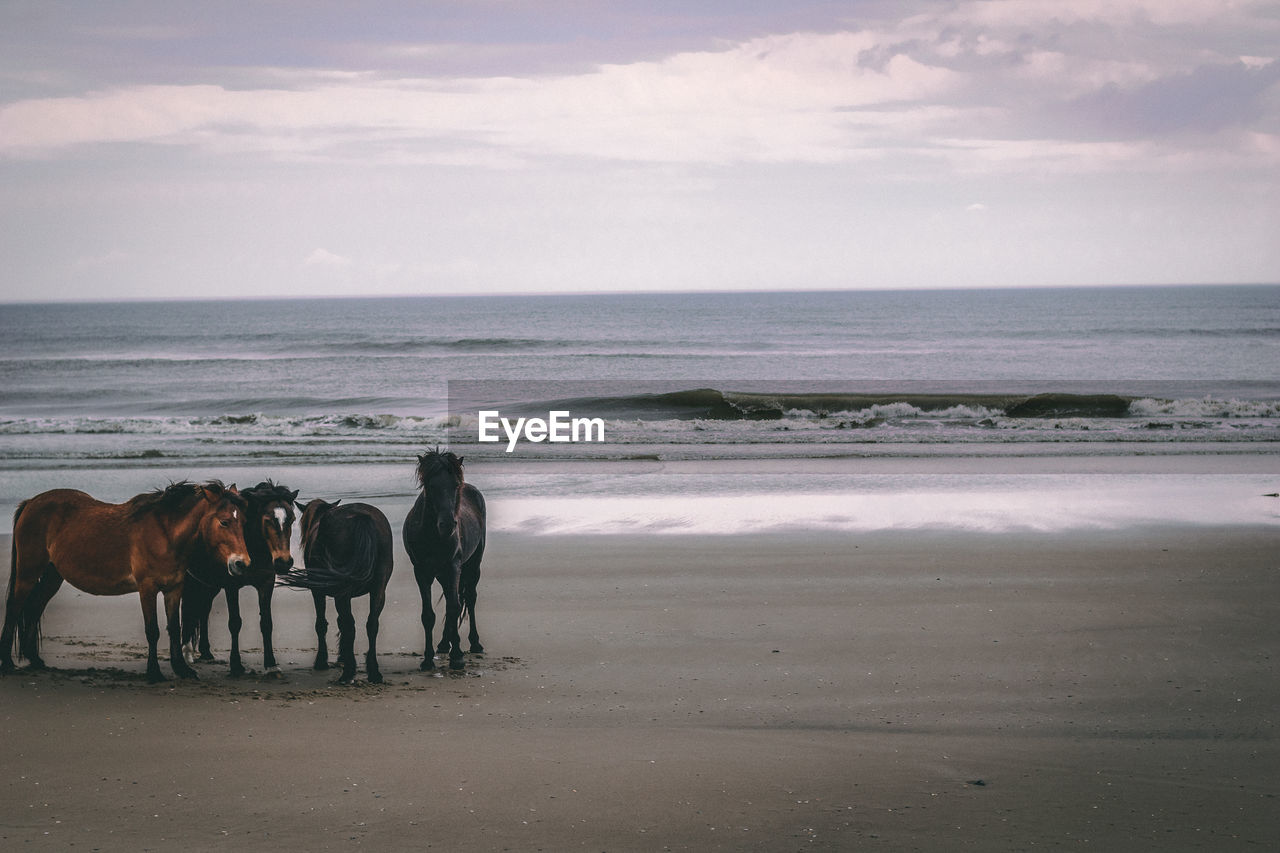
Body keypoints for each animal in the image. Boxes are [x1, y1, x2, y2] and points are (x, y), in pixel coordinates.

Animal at [1, 481, 249, 681]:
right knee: (14, 607)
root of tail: (31, 502)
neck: (166, 534)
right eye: (224, 522)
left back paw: (34, 659)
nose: (241, 563)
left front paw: (181, 669)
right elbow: (153, 630)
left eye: (243, 521)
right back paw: (7, 662)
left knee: (35, 607)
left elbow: (174, 628)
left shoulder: (174, 589)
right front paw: (154, 672)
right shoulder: (147, 588)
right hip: (28, 573)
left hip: (53, 576)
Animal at [181, 481, 298, 676]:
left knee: (204, 610)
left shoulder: (266, 583)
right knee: (187, 608)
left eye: (292, 519)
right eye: (267, 520)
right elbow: (235, 623)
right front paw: (236, 665)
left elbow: (266, 623)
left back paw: (205, 652)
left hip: (210, 586)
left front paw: (271, 665)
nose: (283, 562)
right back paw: (186, 651)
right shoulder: (231, 586)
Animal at [281, 494, 391, 681]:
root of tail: (363, 517)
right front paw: (342, 656)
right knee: (371, 624)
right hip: (378, 589)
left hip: (341, 591)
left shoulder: (318, 591)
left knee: (350, 625)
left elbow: (322, 624)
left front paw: (322, 661)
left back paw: (348, 672)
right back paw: (373, 671)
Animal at [401, 448, 486, 666]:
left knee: (469, 598)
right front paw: (428, 659)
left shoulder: (453, 566)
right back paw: (443, 644)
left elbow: (455, 606)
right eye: (431, 486)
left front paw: (457, 657)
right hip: (441, 573)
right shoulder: (421, 571)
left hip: (473, 565)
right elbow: (428, 614)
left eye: (455, 485)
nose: (447, 525)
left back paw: (475, 643)